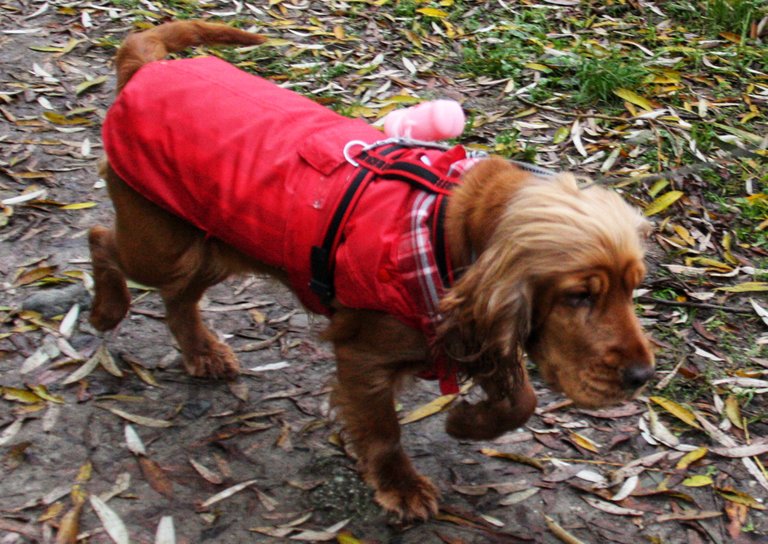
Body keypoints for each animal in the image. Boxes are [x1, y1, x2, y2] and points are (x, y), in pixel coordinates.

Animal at [90, 21, 656, 520]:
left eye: (631, 290)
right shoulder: (363, 356)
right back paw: (106, 311)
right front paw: (402, 489)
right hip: (163, 243)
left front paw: (466, 423)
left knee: (178, 297)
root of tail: (146, 68)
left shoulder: (473, 334)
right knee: (103, 241)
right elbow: (383, 433)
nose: (642, 378)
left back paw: (202, 352)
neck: (447, 224)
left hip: (213, 242)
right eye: (579, 296)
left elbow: (522, 398)